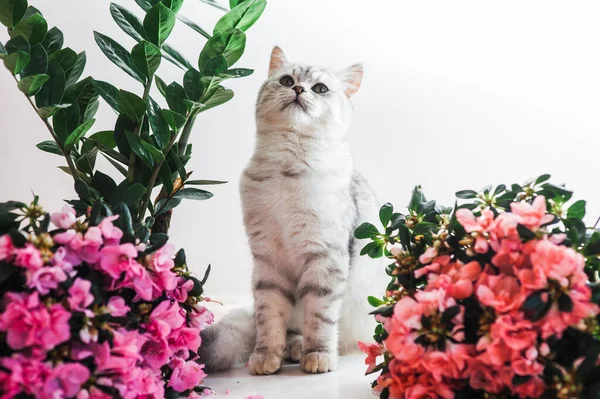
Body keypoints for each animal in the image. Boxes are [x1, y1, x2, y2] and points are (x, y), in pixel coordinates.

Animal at [200, 47, 390, 376]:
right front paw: (266, 358)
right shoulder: (268, 262)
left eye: (321, 89)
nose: (299, 89)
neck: (287, 170)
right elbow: (270, 317)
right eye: (287, 81)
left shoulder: (325, 259)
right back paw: (290, 349)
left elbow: (320, 318)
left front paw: (318, 356)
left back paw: (303, 350)